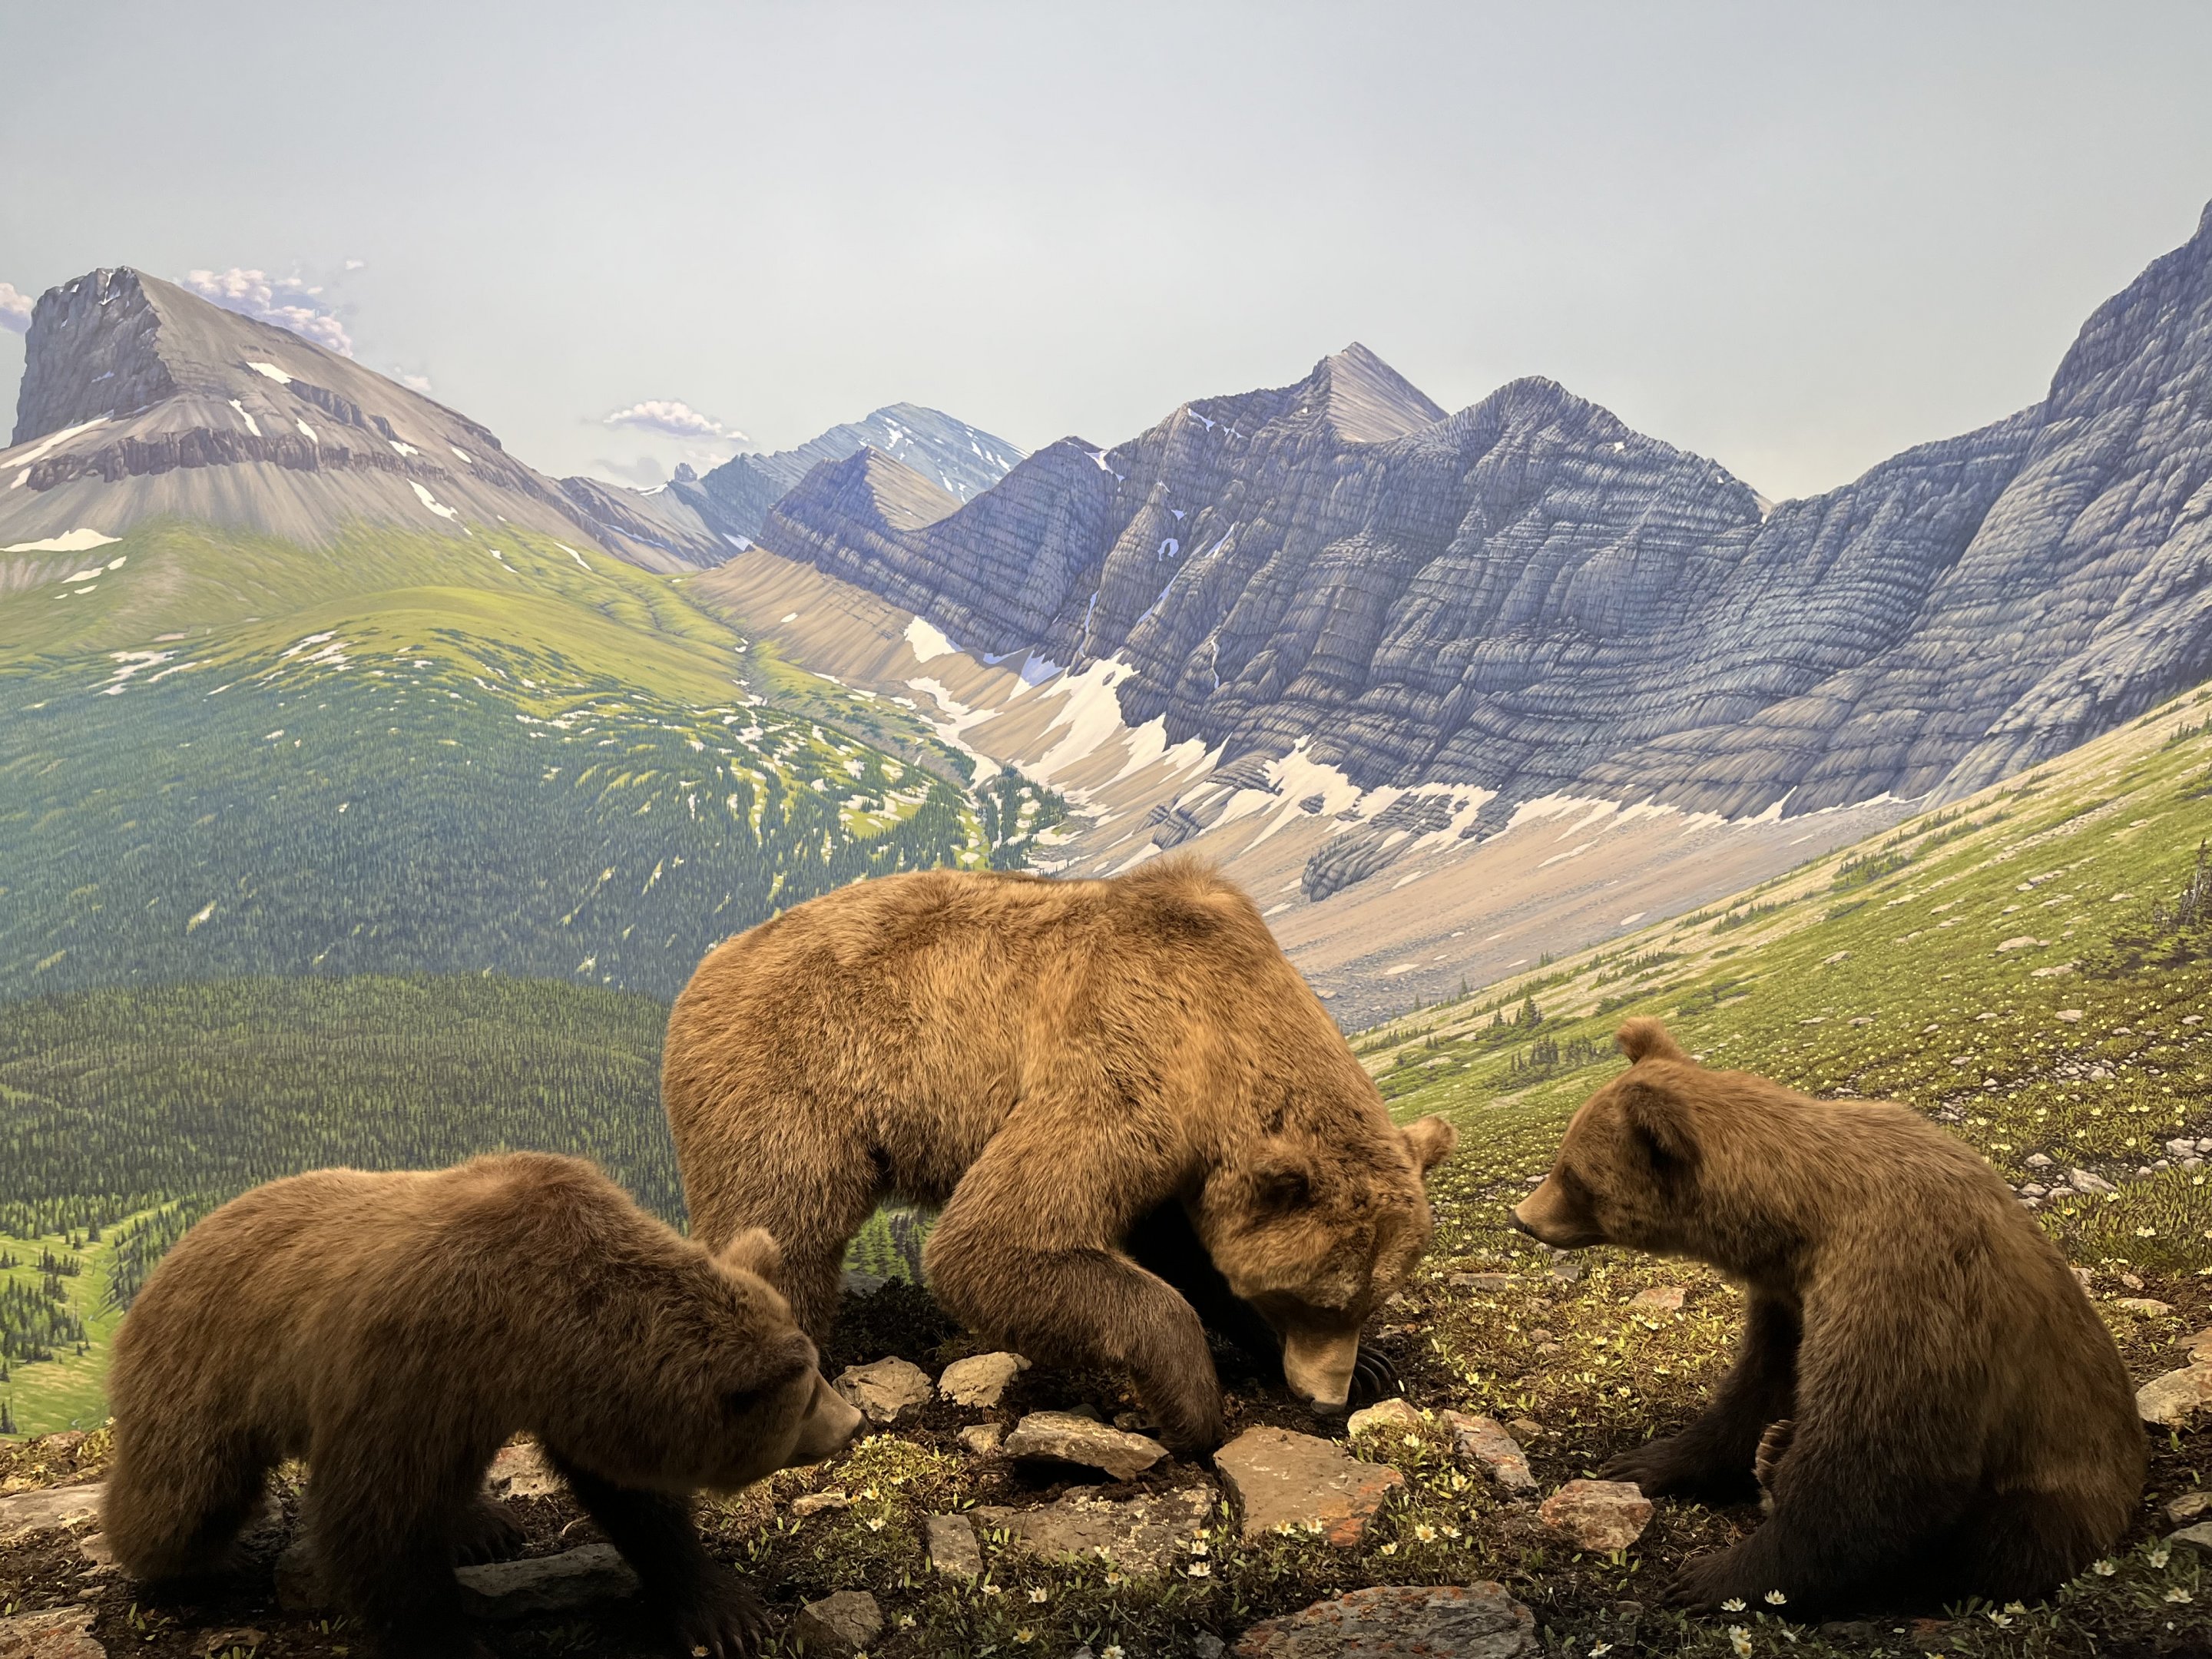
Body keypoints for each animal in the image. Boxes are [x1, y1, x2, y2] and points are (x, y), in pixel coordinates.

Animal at [102, 1152, 861, 1659]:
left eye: (815, 1371)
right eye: (803, 1395)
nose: (855, 1422)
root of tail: (178, 1248)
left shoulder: (554, 1391)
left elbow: (636, 1503)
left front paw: (726, 1613)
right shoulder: (410, 1357)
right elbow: (377, 1519)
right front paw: (449, 1641)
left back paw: (480, 1524)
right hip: (202, 1369)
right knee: (184, 1494)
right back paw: (185, 1565)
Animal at [662, 855, 1457, 1456]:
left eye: (1371, 1297)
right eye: (1314, 1297)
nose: (1324, 1399)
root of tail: (707, 964)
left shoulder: (1181, 1150)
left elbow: (1180, 1248)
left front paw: (1371, 1364)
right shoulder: (1126, 1056)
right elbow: (995, 1241)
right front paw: (1194, 1407)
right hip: (787, 1086)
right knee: (781, 1227)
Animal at [1512, 1017, 2146, 1615]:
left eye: (1574, 1176)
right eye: (1563, 1157)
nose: (1522, 1217)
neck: (1801, 1223)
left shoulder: (1899, 1280)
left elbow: (1878, 1461)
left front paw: (1710, 1578)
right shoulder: (1788, 1301)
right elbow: (1759, 1388)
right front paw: (1640, 1462)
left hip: (2048, 1499)